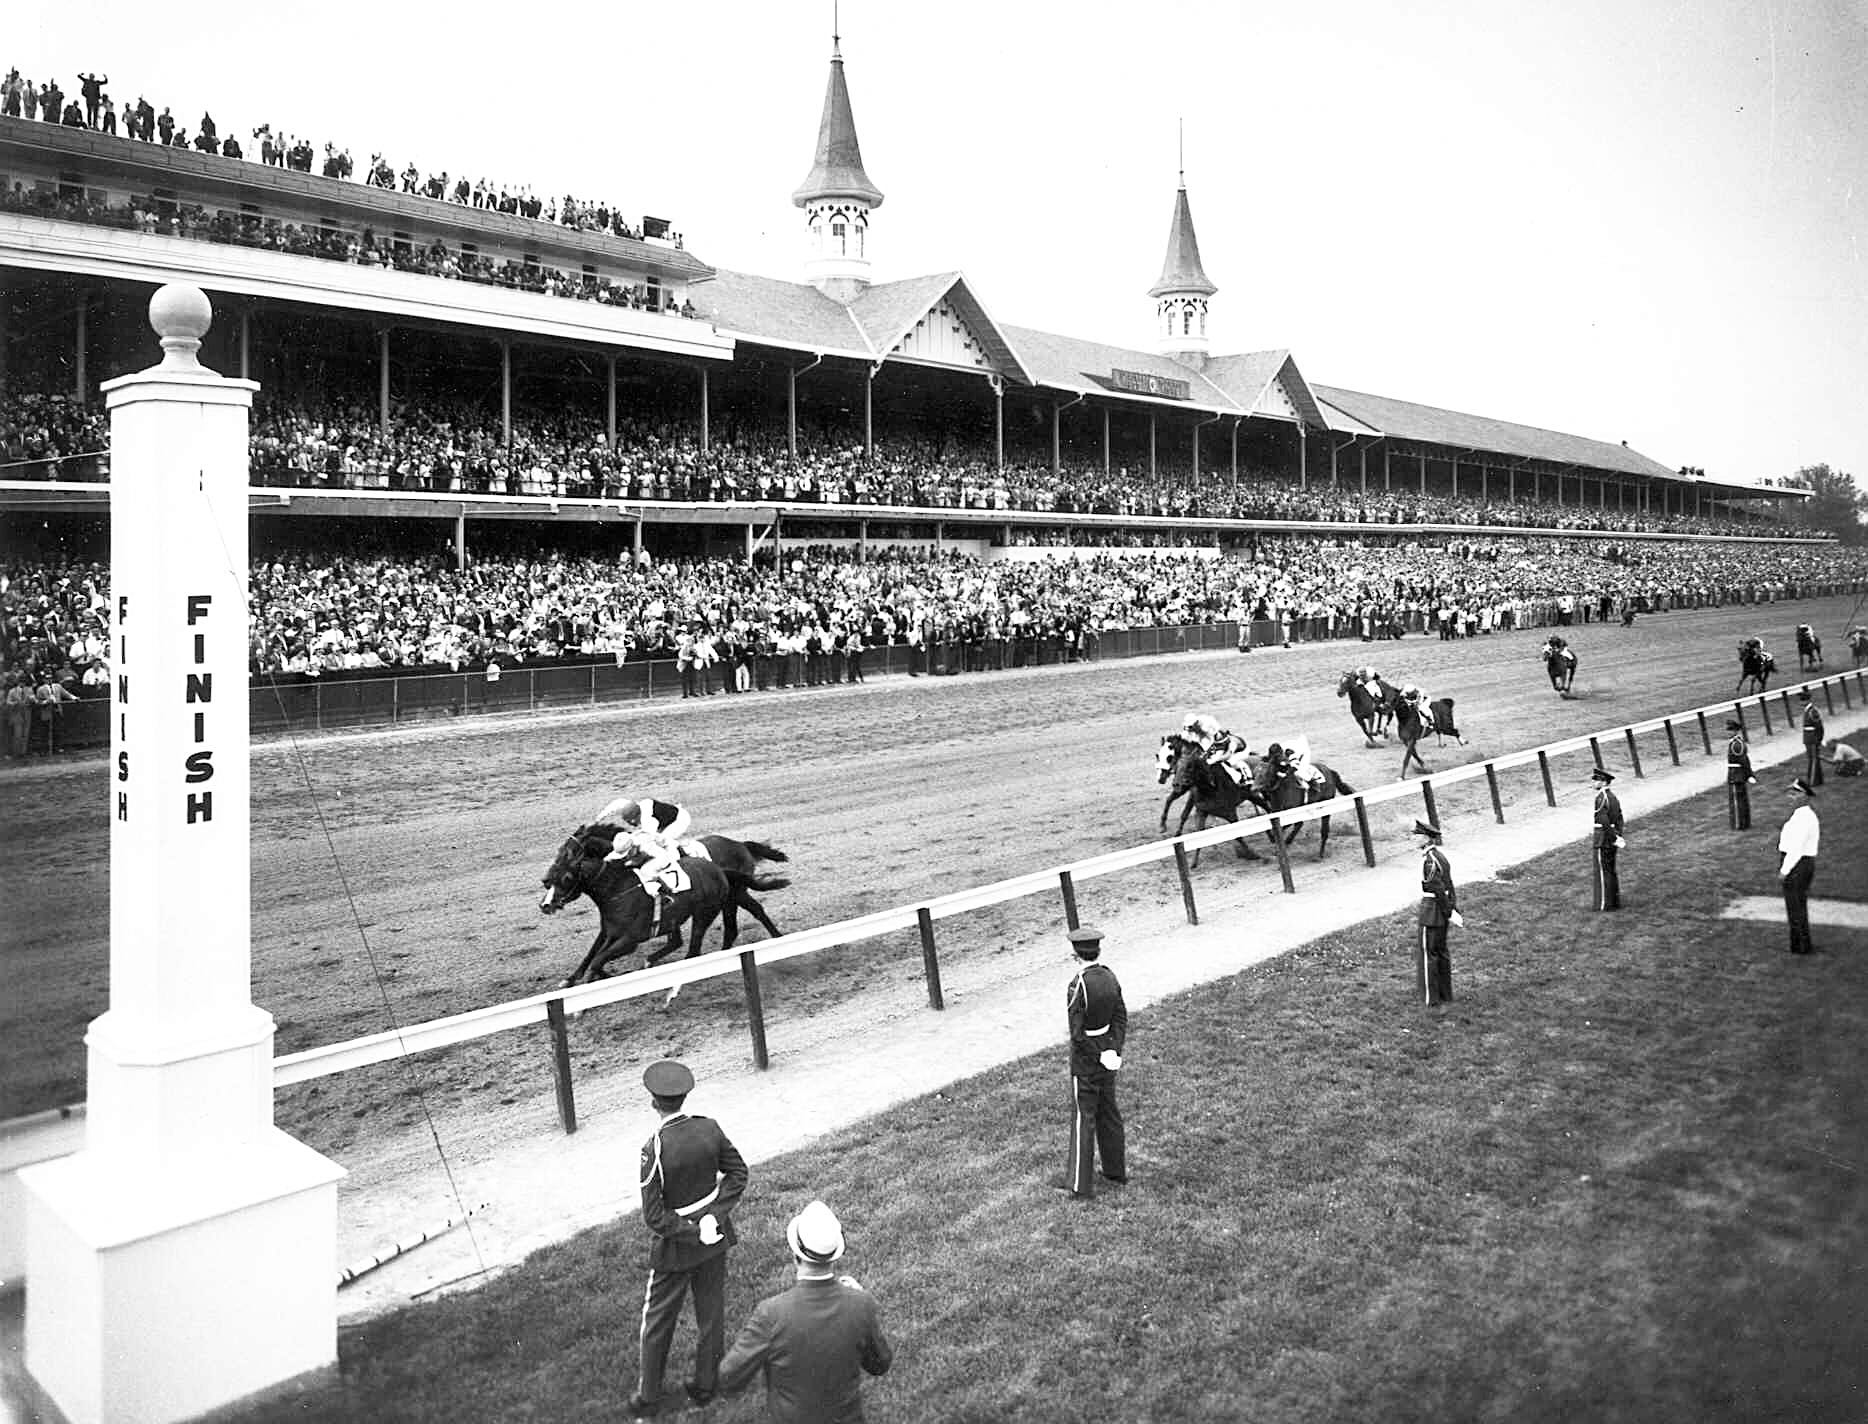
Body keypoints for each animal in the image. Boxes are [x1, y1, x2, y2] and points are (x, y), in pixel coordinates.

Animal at [534, 825, 788, 979]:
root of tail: (741, 844)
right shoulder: (611, 931)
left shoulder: (629, 936)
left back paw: (775, 938)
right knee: (723, 929)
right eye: (561, 850)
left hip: (728, 898)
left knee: (750, 913)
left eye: (569, 852)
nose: (545, 881)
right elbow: (594, 953)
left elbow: (598, 955)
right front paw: (572, 979)